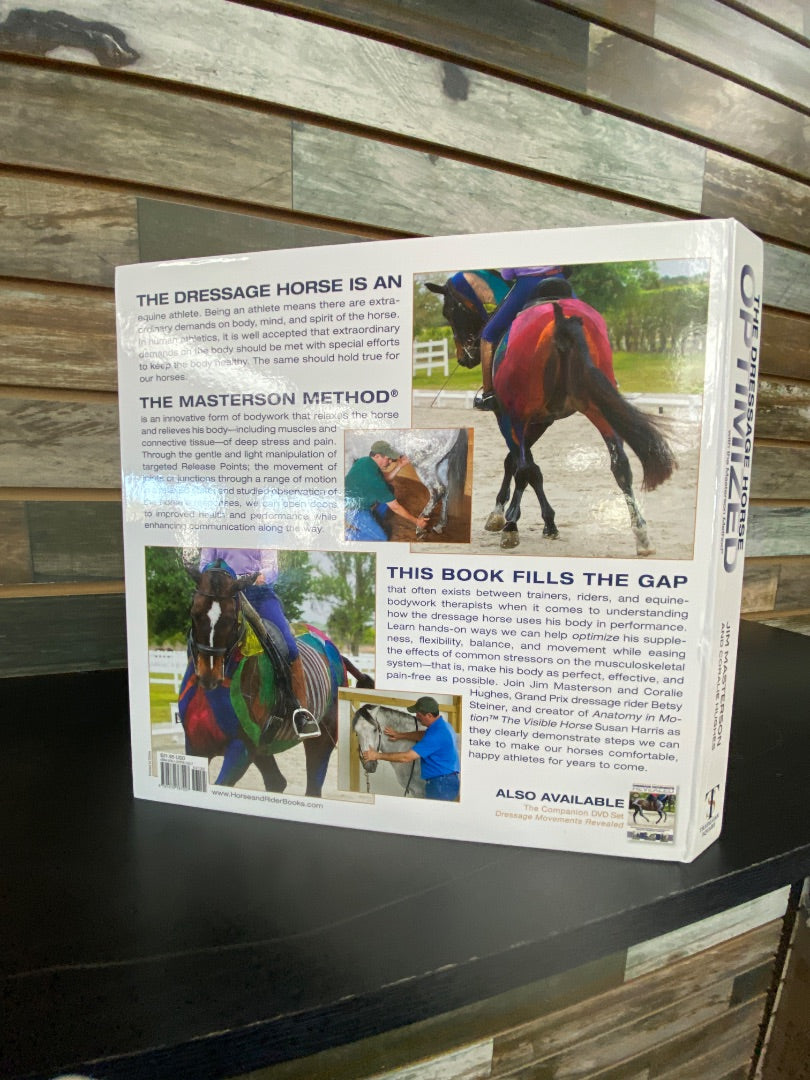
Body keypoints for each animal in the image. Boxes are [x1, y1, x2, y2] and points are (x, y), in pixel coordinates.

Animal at [178, 561, 371, 795]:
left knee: (313, 784)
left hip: (322, 739)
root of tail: (334, 650)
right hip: (263, 749)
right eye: (194, 612)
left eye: (231, 618)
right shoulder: (195, 747)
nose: (209, 675)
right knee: (277, 782)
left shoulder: (240, 750)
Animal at [424, 274, 675, 554]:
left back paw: (511, 527)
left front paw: (503, 515)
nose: (464, 357)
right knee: (620, 465)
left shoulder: (510, 417)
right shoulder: (543, 420)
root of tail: (563, 321)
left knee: (524, 469)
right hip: (598, 407)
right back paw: (642, 536)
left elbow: (521, 465)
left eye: (448, 311)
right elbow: (525, 466)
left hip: (521, 416)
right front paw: (546, 522)